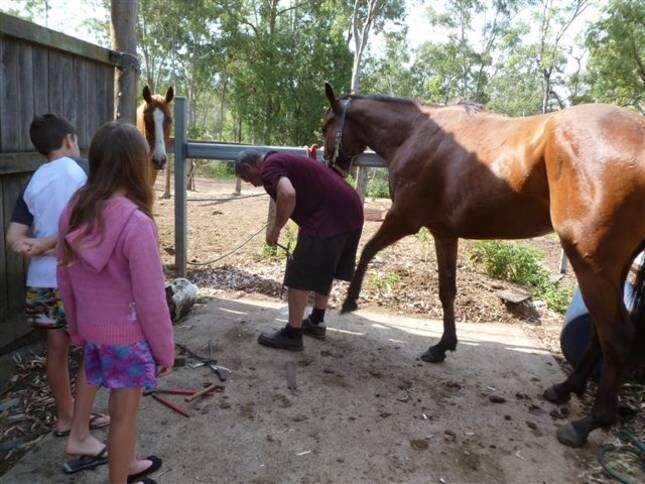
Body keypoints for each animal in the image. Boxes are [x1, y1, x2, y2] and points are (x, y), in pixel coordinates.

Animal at [322, 82, 644, 446]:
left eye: (327, 124)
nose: (332, 166)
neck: (419, 131)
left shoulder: (404, 218)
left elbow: (367, 250)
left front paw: (350, 300)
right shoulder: (444, 233)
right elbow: (447, 289)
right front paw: (442, 346)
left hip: (591, 263)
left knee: (616, 335)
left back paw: (588, 423)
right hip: (612, 268)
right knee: (599, 332)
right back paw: (565, 388)